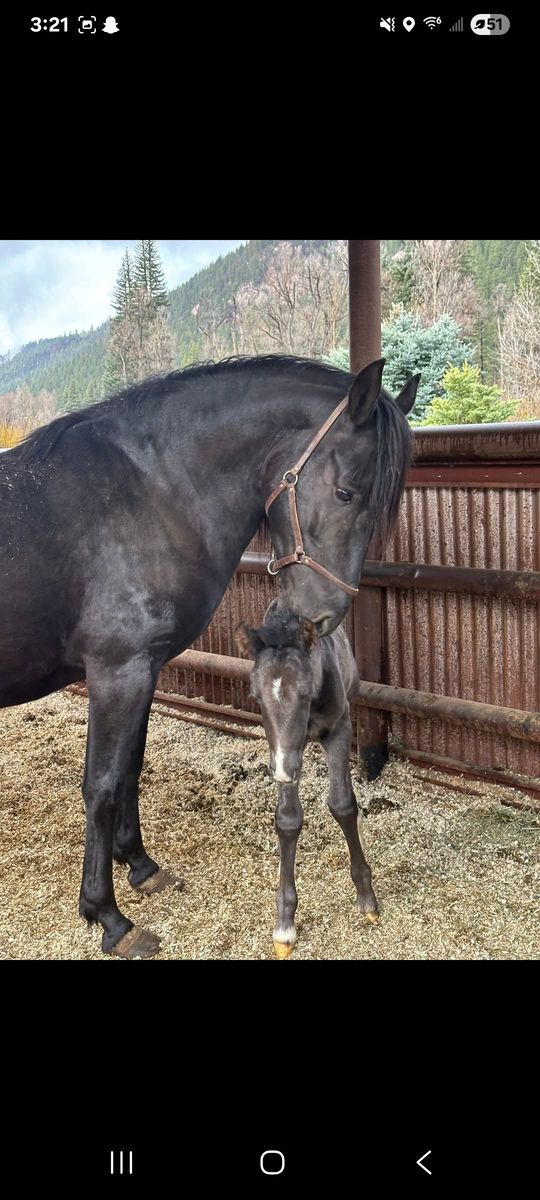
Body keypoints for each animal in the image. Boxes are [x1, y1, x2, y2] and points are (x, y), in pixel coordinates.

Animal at [236, 606, 377, 958]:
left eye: (305, 691)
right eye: (256, 696)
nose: (283, 771)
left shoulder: (339, 730)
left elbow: (342, 805)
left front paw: (366, 898)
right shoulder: (283, 751)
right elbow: (288, 820)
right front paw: (284, 925)